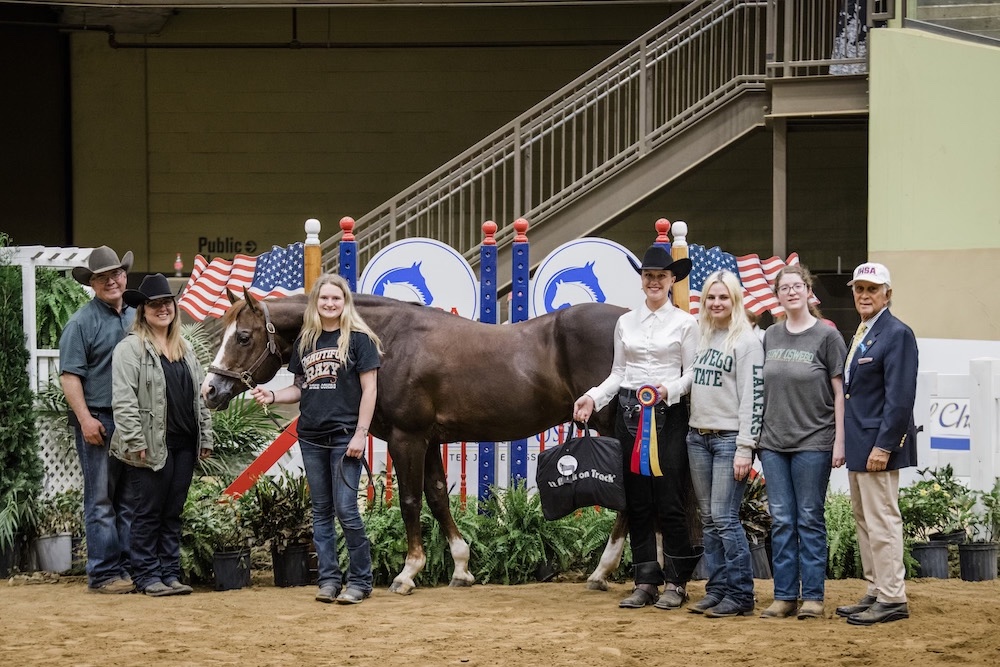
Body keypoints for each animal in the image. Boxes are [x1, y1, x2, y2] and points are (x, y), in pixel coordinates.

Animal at [201, 292, 632, 596]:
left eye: (243, 336)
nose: (210, 390)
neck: (390, 341)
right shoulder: (428, 440)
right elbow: (438, 497)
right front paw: (461, 568)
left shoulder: (406, 438)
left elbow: (410, 501)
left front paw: (408, 572)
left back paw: (603, 570)